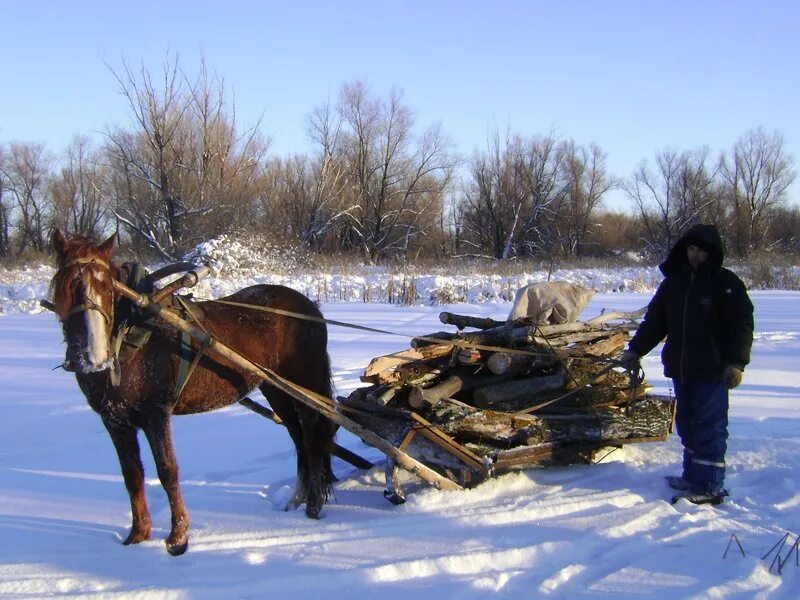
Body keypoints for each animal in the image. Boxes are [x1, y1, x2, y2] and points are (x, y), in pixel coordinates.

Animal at [49, 229, 338, 552]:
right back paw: (297, 498)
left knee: (312, 438)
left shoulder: (156, 414)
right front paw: (138, 535)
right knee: (297, 436)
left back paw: (313, 506)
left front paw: (178, 537)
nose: (93, 355)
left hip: (304, 382)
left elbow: (167, 471)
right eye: (64, 284)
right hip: (275, 388)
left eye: (107, 286)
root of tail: (310, 306)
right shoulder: (115, 421)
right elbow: (132, 475)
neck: (132, 335)